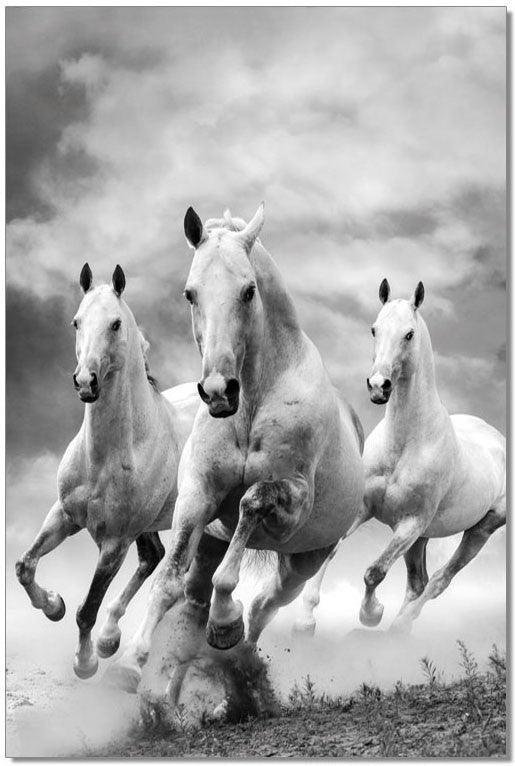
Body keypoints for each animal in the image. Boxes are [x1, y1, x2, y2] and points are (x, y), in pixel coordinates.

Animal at [15, 264, 198, 679]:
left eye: (115, 323)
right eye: (76, 322)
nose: (86, 381)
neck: (106, 456)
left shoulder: (115, 541)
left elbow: (87, 609)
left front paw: (85, 662)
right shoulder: (64, 515)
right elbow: (25, 566)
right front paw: (53, 605)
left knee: (172, 576)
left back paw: (123, 653)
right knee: (153, 557)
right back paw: (111, 639)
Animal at [111, 203, 365, 693]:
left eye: (248, 291)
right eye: (190, 293)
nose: (217, 391)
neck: (250, 407)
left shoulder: (292, 501)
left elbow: (252, 502)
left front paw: (225, 621)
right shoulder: (197, 495)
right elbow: (168, 579)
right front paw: (130, 662)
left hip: (304, 561)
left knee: (266, 604)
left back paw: (239, 655)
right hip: (212, 546)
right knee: (195, 601)